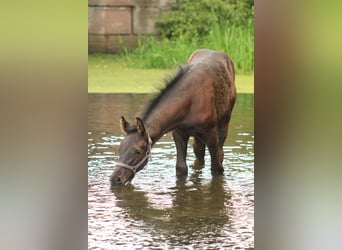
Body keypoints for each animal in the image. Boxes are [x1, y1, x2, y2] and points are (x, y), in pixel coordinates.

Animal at [111, 48, 236, 186]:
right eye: (120, 148)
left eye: (138, 151)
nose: (115, 178)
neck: (188, 104)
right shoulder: (178, 133)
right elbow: (181, 168)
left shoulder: (210, 133)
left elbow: (217, 168)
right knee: (199, 153)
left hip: (224, 121)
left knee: (220, 152)